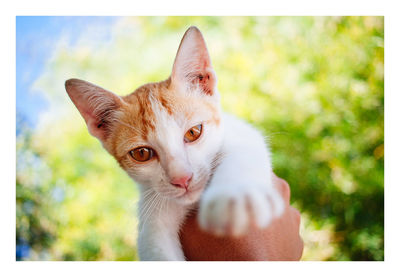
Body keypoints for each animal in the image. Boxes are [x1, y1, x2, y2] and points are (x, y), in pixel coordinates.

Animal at [65, 25, 284, 258]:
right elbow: (156, 247)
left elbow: (244, 147)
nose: (182, 179)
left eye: (194, 132)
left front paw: (235, 199)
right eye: (141, 153)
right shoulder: (152, 223)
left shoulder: (239, 130)